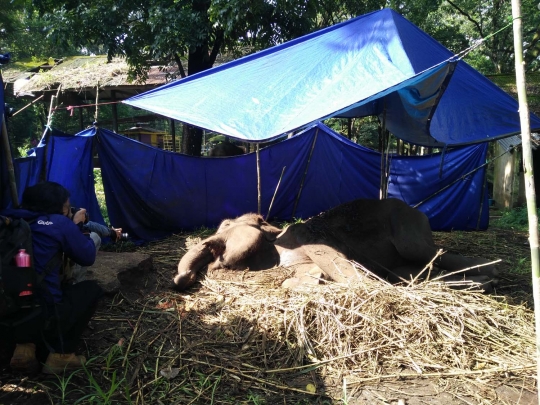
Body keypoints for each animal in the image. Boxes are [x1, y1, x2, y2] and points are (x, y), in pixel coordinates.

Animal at [174, 198, 498, 290]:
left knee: (428, 253)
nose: (181, 279)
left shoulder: (310, 239)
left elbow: (356, 279)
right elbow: (293, 281)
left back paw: (489, 275)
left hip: (407, 225)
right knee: (409, 272)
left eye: (226, 226)